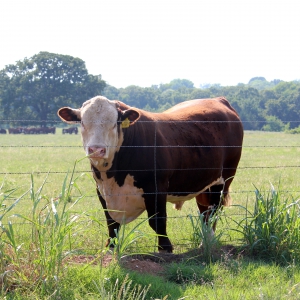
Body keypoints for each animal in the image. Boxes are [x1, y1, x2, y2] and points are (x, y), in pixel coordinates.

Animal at [57, 95, 243, 252]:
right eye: (82, 122)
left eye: (114, 123)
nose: (96, 149)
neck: (114, 176)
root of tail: (218, 99)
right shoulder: (101, 190)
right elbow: (111, 222)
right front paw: (111, 246)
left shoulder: (156, 188)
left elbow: (158, 221)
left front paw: (165, 248)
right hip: (204, 183)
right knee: (205, 211)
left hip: (224, 179)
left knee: (214, 211)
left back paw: (207, 242)